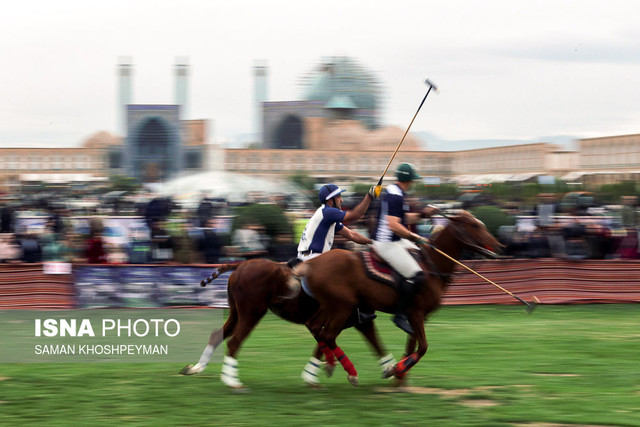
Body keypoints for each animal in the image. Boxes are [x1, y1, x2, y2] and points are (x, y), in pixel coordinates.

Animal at [180, 260, 396, 390]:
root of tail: (240, 264)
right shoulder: (340, 320)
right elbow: (327, 342)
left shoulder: (356, 321)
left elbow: (374, 344)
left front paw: (391, 370)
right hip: (252, 312)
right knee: (234, 342)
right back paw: (232, 382)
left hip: (236, 312)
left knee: (217, 335)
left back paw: (196, 368)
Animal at [290, 212, 500, 382]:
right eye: (474, 225)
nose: (498, 246)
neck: (432, 267)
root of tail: (310, 264)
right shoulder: (415, 312)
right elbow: (422, 347)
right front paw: (396, 369)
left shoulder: (418, 317)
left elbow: (412, 345)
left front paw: (400, 377)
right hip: (343, 306)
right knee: (328, 334)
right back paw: (348, 372)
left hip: (331, 305)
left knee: (317, 328)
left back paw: (322, 369)